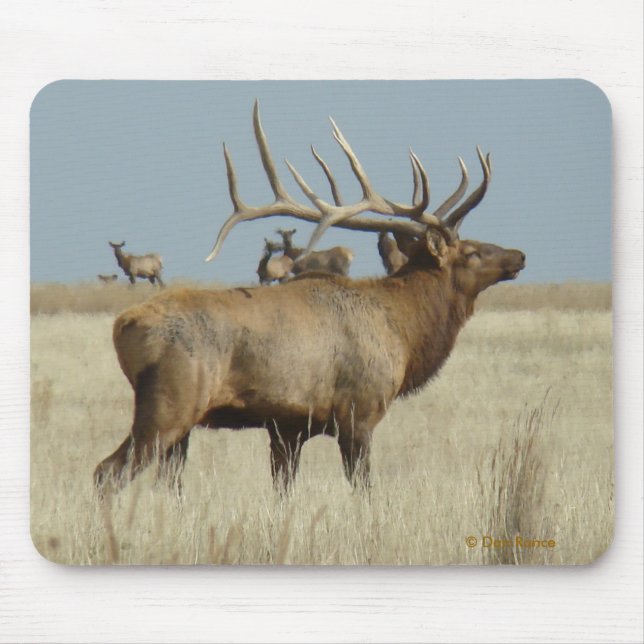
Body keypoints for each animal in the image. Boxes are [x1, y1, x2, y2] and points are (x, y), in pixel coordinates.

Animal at [94, 101, 525, 495]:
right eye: (471, 251)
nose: (519, 255)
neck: (404, 332)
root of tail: (123, 325)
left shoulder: (288, 427)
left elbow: (283, 490)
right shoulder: (359, 411)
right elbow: (363, 489)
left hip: (179, 423)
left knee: (165, 482)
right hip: (170, 404)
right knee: (107, 472)